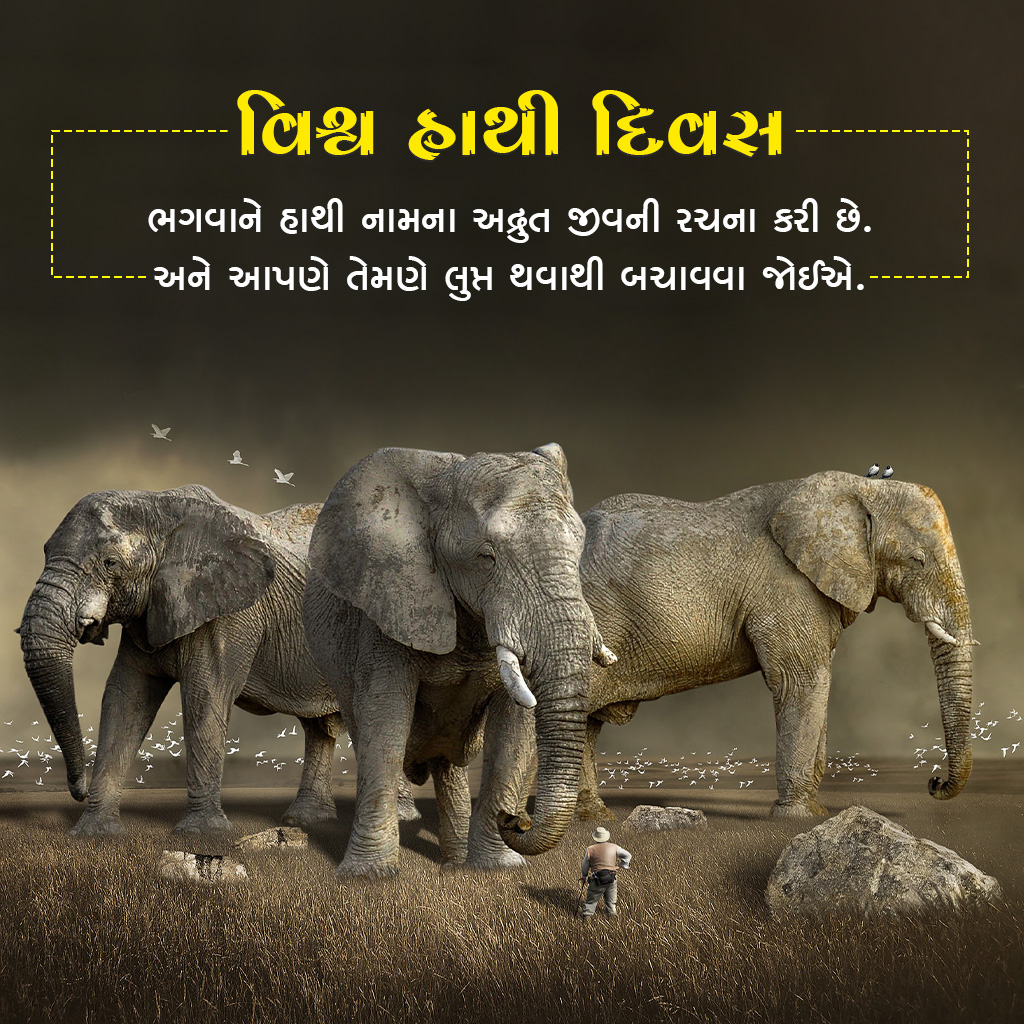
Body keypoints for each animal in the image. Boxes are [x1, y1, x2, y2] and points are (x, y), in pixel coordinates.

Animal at [19, 485, 352, 835]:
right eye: (45, 552)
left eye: (110, 563)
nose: (78, 791)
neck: (160, 505)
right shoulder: (149, 612)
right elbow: (125, 697)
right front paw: (95, 833)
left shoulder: (230, 612)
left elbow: (205, 695)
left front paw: (202, 833)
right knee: (319, 728)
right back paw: (306, 821)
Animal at [302, 443, 616, 877]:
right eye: (487, 557)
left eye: (579, 550)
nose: (514, 820)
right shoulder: (389, 601)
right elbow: (384, 718)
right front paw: (369, 877)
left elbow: (514, 729)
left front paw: (498, 869)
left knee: (449, 762)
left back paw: (455, 864)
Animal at [573, 470, 976, 819]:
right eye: (917, 560)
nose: (934, 782)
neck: (860, 488)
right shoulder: (787, 586)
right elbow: (801, 681)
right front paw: (798, 818)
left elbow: (817, 683)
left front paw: (814, 811)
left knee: (586, 722)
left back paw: (591, 815)